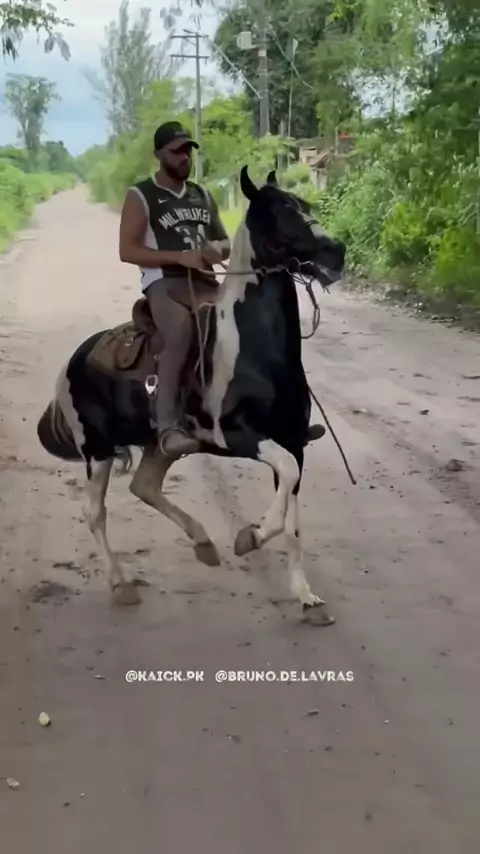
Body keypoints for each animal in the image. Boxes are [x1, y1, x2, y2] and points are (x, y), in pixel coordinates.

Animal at [36, 165, 346, 625]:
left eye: (303, 205)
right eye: (276, 213)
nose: (335, 252)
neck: (258, 353)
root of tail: (72, 362)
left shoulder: (293, 441)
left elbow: (292, 516)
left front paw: (307, 598)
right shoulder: (238, 436)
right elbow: (284, 488)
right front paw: (249, 537)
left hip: (160, 445)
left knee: (144, 486)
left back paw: (203, 544)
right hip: (97, 450)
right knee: (95, 513)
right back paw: (121, 584)